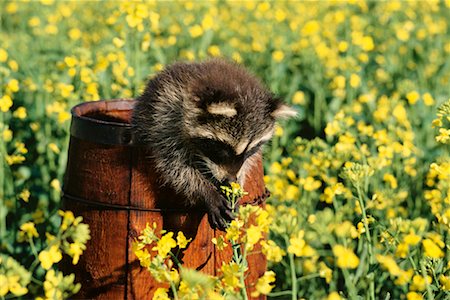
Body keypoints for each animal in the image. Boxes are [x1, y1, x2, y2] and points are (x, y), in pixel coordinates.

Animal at [130, 59, 296, 231]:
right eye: (222, 148)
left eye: (251, 150)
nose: (231, 180)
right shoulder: (164, 120)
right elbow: (174, 166)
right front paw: (205, 191)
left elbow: (247, 163)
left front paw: (237, 185)